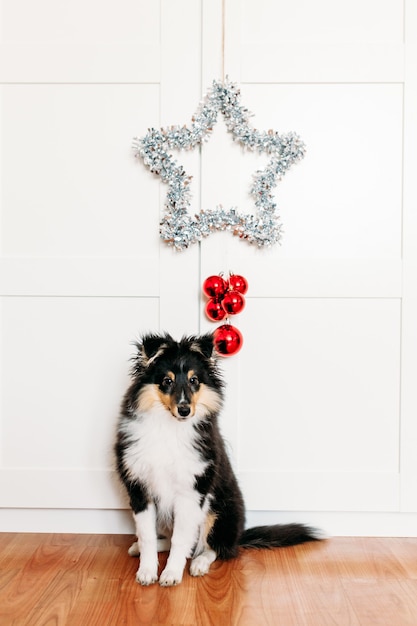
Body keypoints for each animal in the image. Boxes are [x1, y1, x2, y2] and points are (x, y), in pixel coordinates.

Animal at [114, 332, 318, 584]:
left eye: (194, 380)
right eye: (167, 381)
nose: (184, 410)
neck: (170, 427)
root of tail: (238, 536)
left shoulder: (192, 489)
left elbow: (181, 539)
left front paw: (171, 574)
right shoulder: (139, 488)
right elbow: (147, 535)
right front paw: (146, 572)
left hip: (219, 510)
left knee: (213, 548)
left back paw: (199, 563)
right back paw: (139, 549)